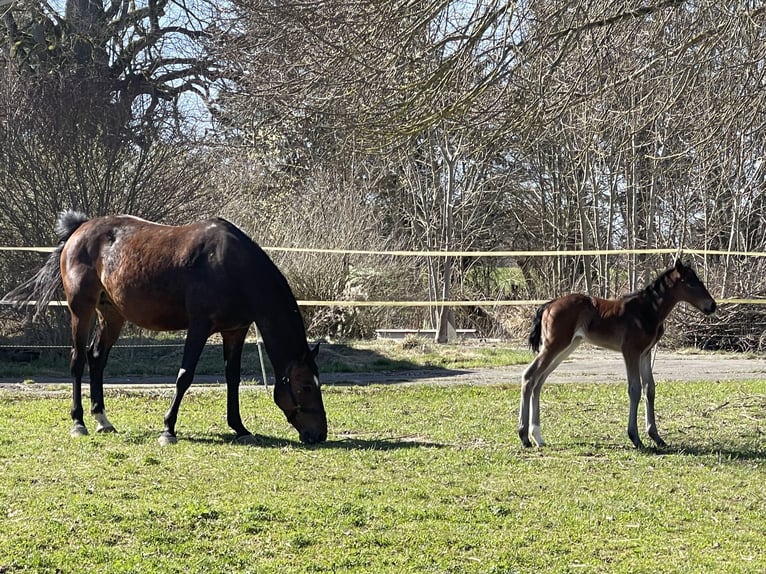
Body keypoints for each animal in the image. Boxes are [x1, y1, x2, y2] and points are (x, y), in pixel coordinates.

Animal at [6, 210, 327, 445]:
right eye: (306, 386)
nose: (319, 434)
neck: (233, 268)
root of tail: (79, 229)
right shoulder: (199, 327)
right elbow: (185, 376)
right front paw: (168, 429)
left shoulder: (235, 331)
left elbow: (232, 378)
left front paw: (239, 427)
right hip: (81, 310)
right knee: (77, 361)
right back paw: (79, 423)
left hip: (112, 314)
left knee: (96, 359)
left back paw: (103, 420)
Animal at [519, 259, 716, 449]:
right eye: (691, 283)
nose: (712, 306)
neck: (647, 310)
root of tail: (549, 305)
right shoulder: (631, 351)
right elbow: (635, 389)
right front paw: (635, 438)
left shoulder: (645, 353)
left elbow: (649, 388)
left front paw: (656, 437)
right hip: (555, 345)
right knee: (530, 375)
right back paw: (524, 437)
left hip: (567, 346)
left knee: (539, 380)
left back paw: (537, 436)